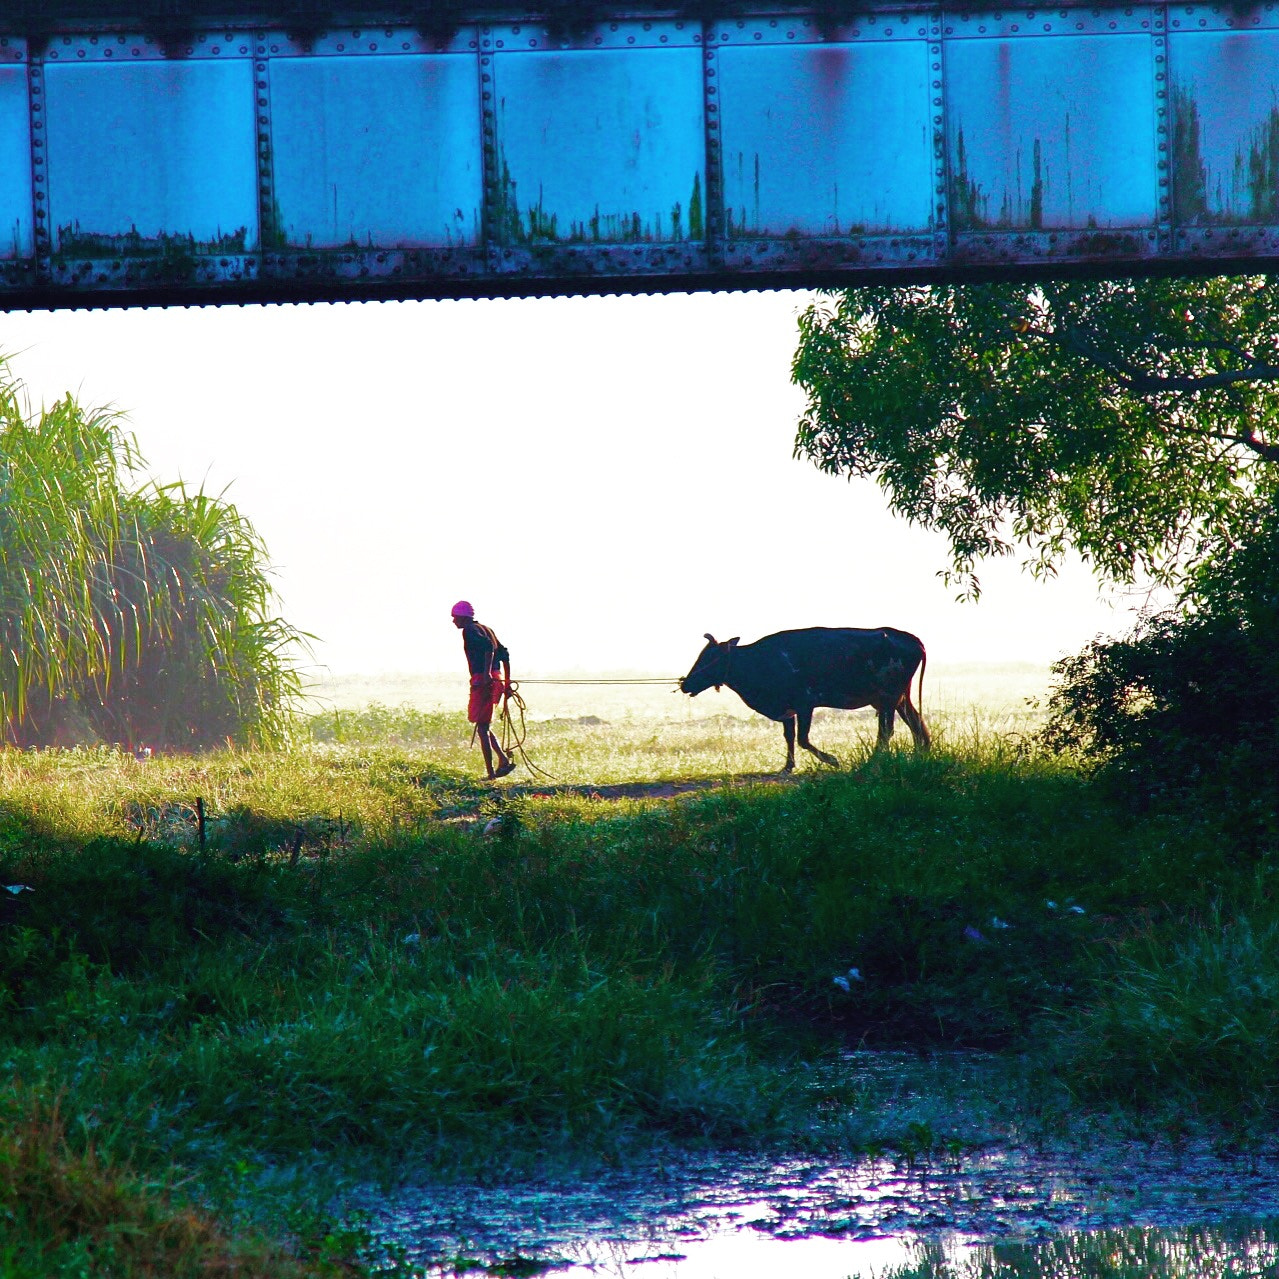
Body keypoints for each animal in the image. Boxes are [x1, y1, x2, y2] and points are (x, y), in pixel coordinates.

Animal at [680, 621, 931, 767]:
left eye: (709, 657)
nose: (685, 684)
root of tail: (910, 638)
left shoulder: (805, 703)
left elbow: (802, 738)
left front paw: (832, 760)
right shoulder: (787, 708)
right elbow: (789, 737)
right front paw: (788, 766)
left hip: (888, 697)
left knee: (887, 730)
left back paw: (875, 759)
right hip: (899, 698)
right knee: (916, 722)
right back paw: (921, 752)